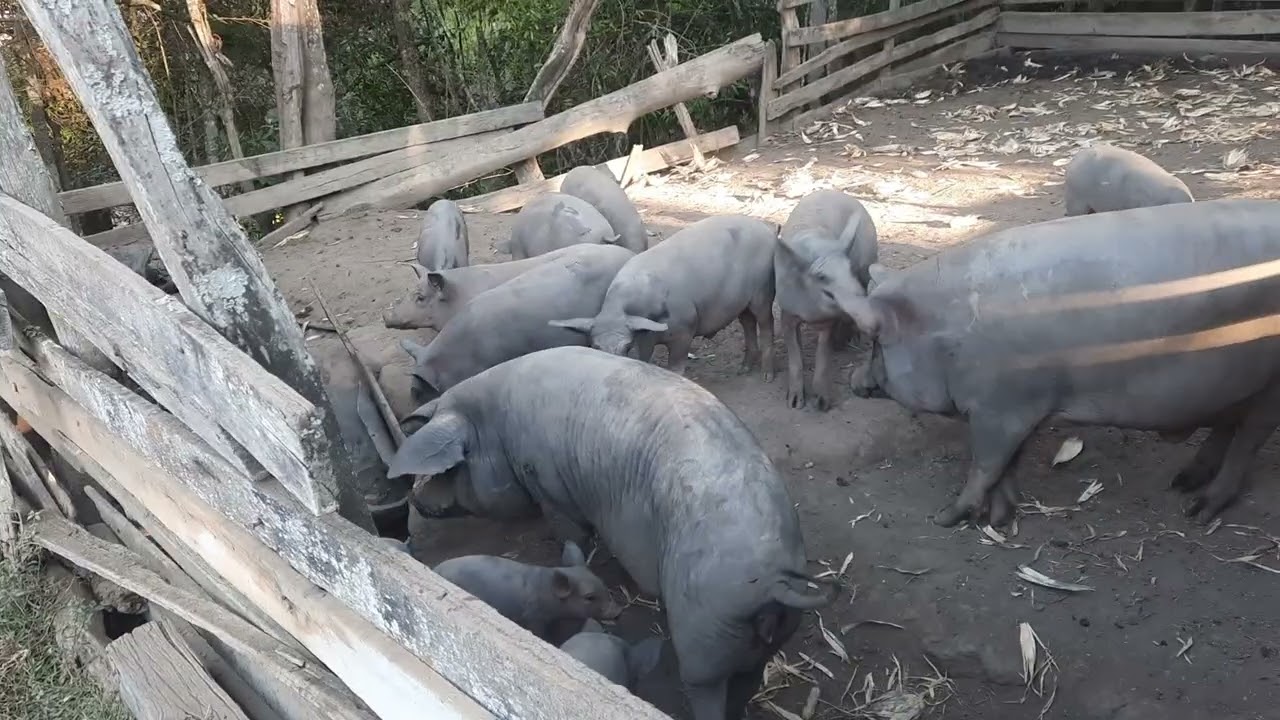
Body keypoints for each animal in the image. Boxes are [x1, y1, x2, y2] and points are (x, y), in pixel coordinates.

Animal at [550, 215, 778, 378]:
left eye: (626, 346)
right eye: (595, 346)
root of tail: (767, 230)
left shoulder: (686, 328)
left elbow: (676, 367)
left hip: (763, 290)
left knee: (766, 323)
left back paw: (767, 376)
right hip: (742, 302)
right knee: (748, 323)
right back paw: (743, 369)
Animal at [775, 189, 878, 411]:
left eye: (850, 269)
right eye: (822, 277)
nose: (859, 295)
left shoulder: (828, 322)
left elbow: (823, 354)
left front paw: (822, 404)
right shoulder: (786, 312)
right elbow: (794, 356)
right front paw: (794, 404)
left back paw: (848, 341)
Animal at [845, 199, 1280, 527]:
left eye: (876, 342)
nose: (853, 380)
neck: (946, 338)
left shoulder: (1001, 408)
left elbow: (985, 464)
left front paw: (947, 518)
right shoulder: (1019, 409)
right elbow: (1009, 463)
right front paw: (1000, 518)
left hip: (1270, 387)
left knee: (1248, 439)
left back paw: (1198, 511)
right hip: (1233, 385)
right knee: (1227, 426)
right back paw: (1182, 482)